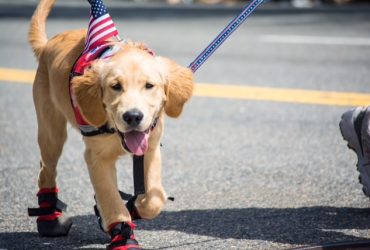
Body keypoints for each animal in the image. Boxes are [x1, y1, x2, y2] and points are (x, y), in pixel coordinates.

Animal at [28, 0, 194, 248]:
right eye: (115, 86)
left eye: (149, 85)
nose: (133, 116)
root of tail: (48, 45)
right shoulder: (96, 157)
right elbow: (110, 199)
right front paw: (122, 235)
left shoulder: (151, 148)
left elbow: (154, 199)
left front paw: (135, 207)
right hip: (51, 132)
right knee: (45, 170)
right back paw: (50, 219)